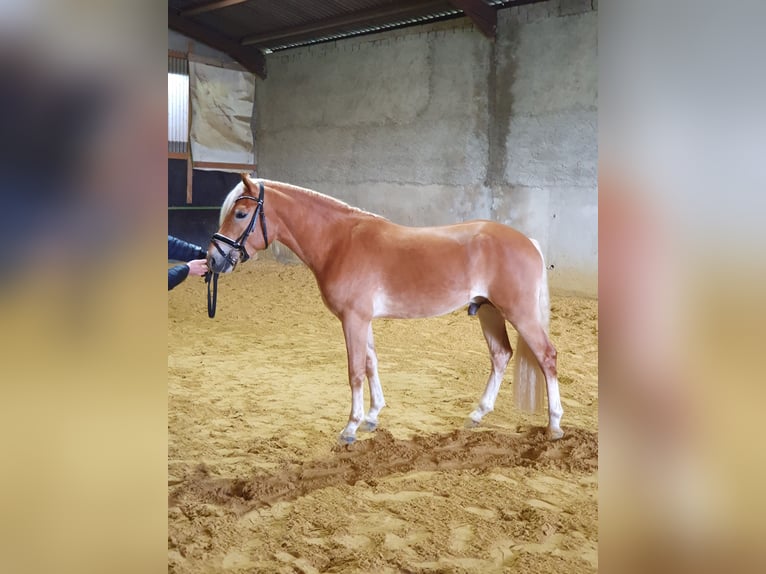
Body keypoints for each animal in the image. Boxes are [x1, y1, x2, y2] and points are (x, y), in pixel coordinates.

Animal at [208, 176, 564, 446]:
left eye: (241, 214)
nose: (213, 259)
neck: (339, 242)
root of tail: (529, 242)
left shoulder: (353, 319)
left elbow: (354, 371)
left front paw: (350, 428)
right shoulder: (362, 320)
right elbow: (370, 363)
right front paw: (372, 416)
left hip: (519, 313)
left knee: (546, 356)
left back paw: (555, 425)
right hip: (490, 312)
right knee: (501, 355)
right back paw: (477, 414)